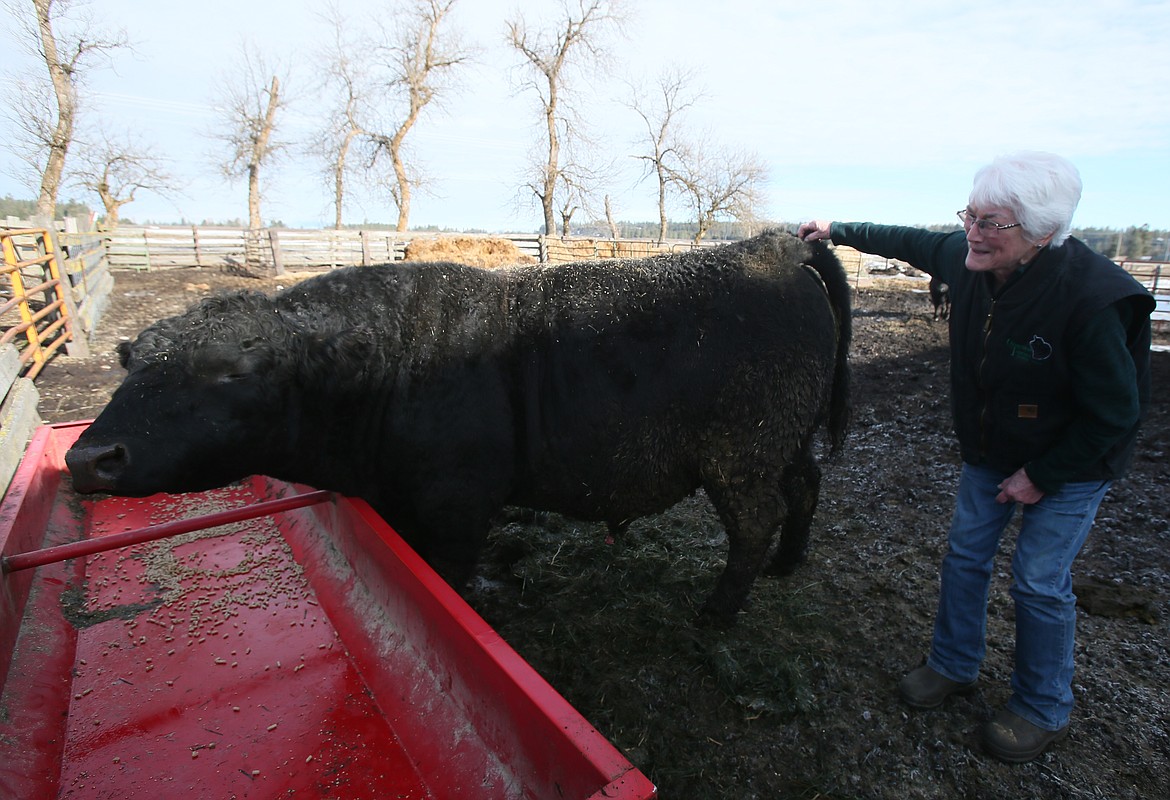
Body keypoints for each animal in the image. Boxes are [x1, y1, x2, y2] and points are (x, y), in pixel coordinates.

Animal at [66, 231, 851, 617]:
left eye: (231, 371)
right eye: (129, 360)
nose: (89, 457)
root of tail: (771, 245)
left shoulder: (457, 504)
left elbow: (448, 575)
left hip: (743, 452)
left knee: (756, 521)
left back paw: (715, 612)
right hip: (786, 438)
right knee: (807, 488)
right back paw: (787, 565)